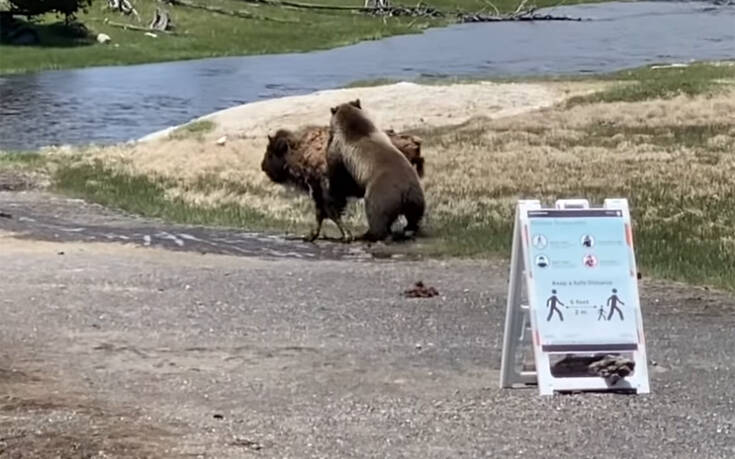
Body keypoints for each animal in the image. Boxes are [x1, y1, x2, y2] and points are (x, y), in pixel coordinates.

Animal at [264, 122, 426, 244]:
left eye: (271, 153)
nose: (263, 166)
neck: (301, 149)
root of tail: (414, 144)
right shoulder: (320, 195)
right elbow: (321, 215)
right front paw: (311, 236)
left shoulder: (326, 193)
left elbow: (331, 213)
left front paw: (346, 236)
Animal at [326, 99, 426, 243]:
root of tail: (405, 191)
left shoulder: (339, 151)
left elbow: (338, 176)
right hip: (416, 197)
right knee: (414, 216)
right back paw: (409, 228)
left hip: (380, 195)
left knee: (376, 216)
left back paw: (367, 235)